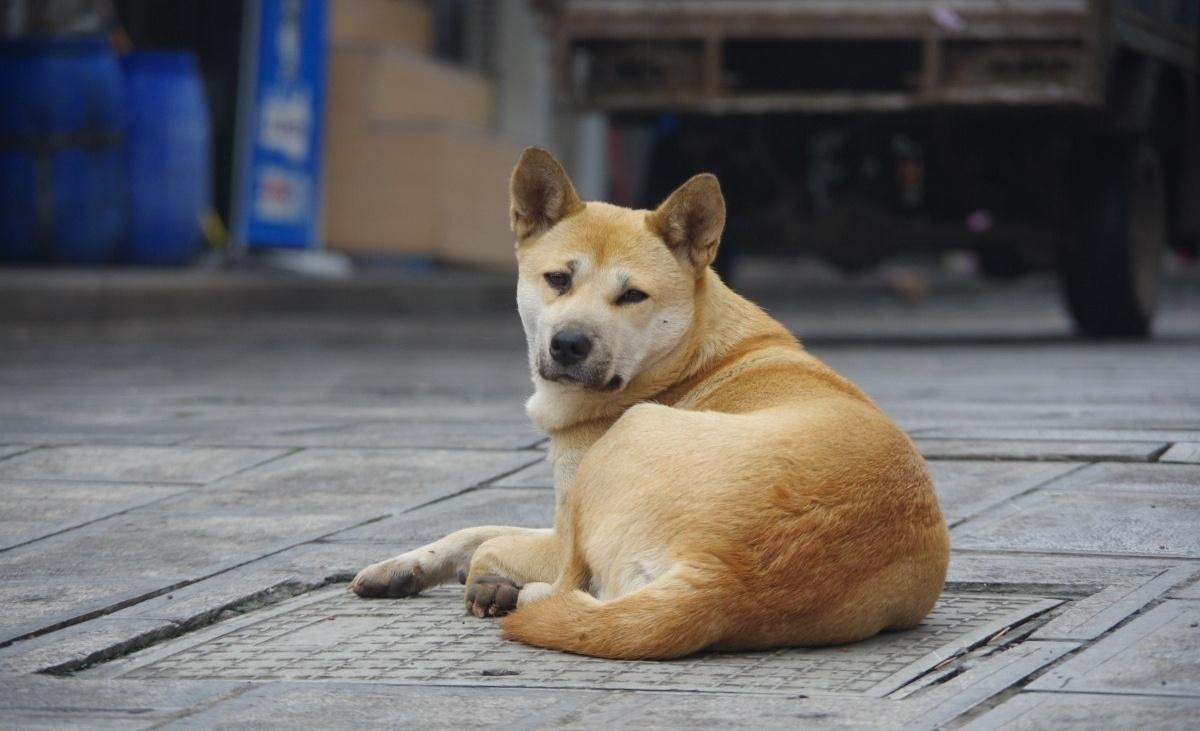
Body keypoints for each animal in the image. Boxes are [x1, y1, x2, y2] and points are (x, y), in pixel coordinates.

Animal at [350, 145, 950, 657]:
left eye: (633, 295)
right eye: (558, 279)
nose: (569, 344)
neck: (688, 356)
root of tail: (719, 576)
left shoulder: (564, 523)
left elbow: (486, 541)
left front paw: (485, 582)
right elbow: (469, 529)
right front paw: (401, 568)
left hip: (631, 436)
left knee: (568, 583)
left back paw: (514, 595)